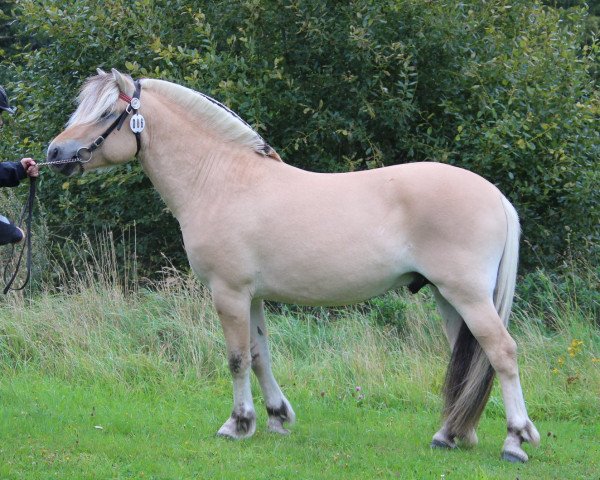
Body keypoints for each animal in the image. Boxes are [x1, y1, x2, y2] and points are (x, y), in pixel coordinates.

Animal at [49, 69, 540, 464]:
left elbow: (236, 359)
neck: (220, 180)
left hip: (467, 295)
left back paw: (514, 442)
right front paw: (276, 417)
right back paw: (452, 435)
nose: (55, 153)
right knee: (472, 359)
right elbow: (259, 355)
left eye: (106, 112)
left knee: (502, 352)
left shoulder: (228, 291)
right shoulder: (251, 296)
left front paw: (236, 424)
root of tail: (495, 195)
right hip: (448, 298)